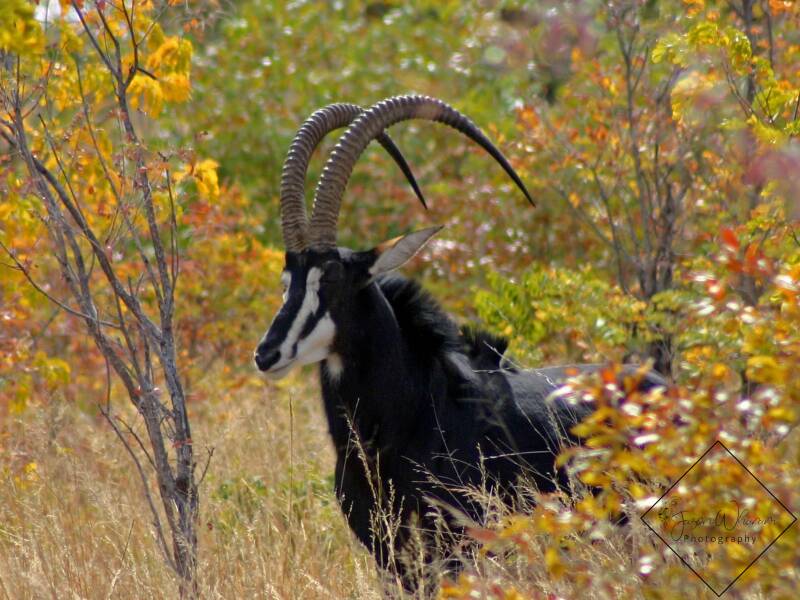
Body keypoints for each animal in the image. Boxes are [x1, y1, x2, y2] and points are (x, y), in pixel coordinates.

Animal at [254, 95, 663, 584]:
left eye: (331, 278)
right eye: (287, 281)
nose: (267, 353)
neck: (407, 419)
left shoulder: (457, 549)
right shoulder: (389, 557)